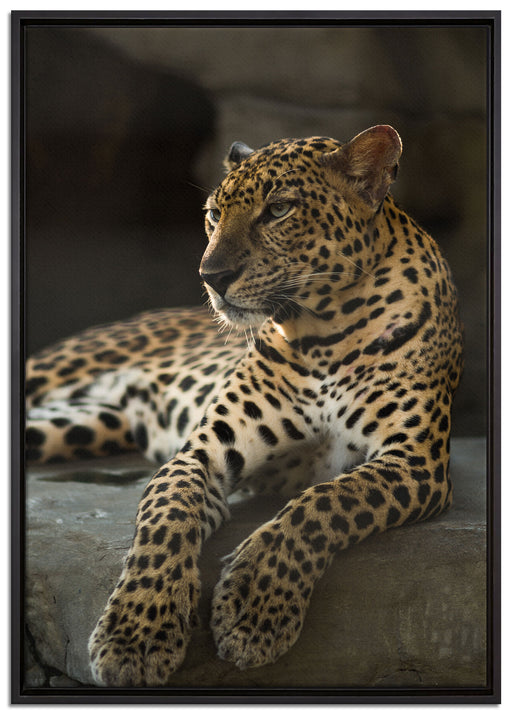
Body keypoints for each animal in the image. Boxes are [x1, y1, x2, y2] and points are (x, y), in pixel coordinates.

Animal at [25, 125, 464, 686]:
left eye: (278, 210)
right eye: (214, 214)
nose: (211, 276)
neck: (324, 330)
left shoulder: (415, 461)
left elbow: (324, 504)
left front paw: (255, 607)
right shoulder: (202, 454)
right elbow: (166, 517)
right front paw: (136, 633)